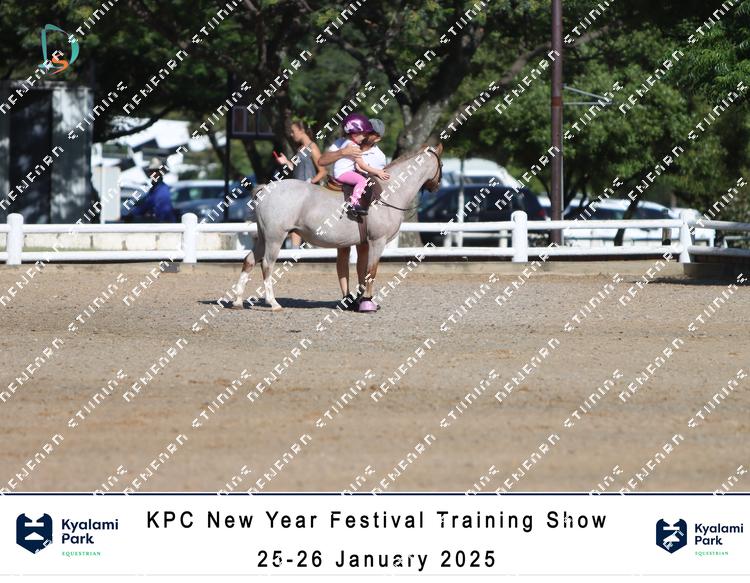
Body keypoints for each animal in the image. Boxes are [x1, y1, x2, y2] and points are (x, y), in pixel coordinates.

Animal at [230, 143, 443, 311]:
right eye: (441, 164)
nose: (436, 187)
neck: (387, 193)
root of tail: (266, 189)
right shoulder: (377, 242)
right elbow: (371, 272)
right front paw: (368, 302)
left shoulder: (364, 243)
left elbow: (363, 271)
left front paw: (360, 301)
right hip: (275, 238)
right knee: (267, 264)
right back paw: (273, 303)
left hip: (263, 237)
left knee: (249, 261)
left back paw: (238, 301)